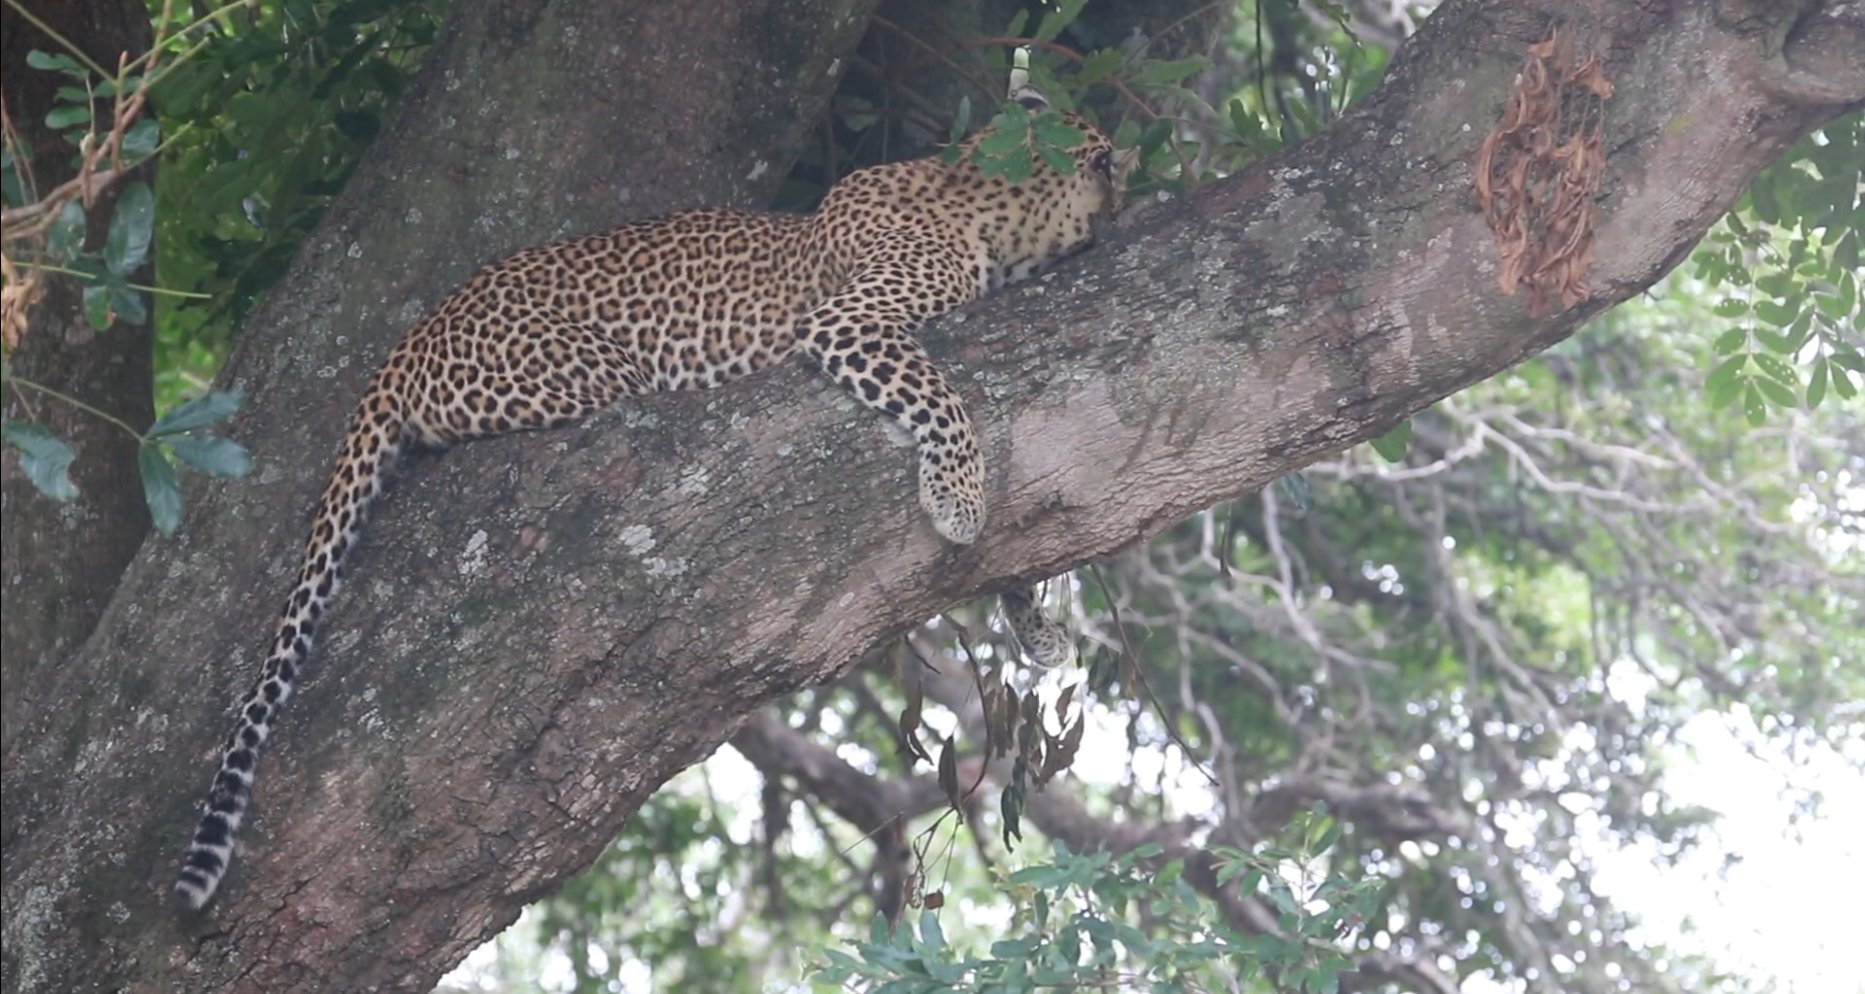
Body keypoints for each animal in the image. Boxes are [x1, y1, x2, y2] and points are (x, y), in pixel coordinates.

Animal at [172, 85, 1137, 912]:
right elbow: (944, 400)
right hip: (588, 373)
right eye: (1112, 171)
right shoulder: (851, 322)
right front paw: (961, 502)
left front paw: (1034, 622)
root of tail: (407, 340)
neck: (982, 205)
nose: (1126, 201)